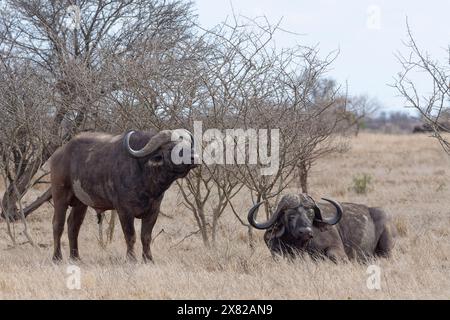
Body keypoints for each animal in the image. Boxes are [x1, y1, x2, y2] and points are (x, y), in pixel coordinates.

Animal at [48, 129, 197, 262]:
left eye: (189, 144)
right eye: (172, 147)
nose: (194, 157)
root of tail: (58, 153)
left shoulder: (153, 211)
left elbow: (146, 236)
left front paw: (148, 259)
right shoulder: (124, 211)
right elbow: (130, 235)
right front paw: (131, 259)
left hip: (81, 203)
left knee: (73, 225)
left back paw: (75, 257)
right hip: (60, 196)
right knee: (58, 225)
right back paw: (57, 257)